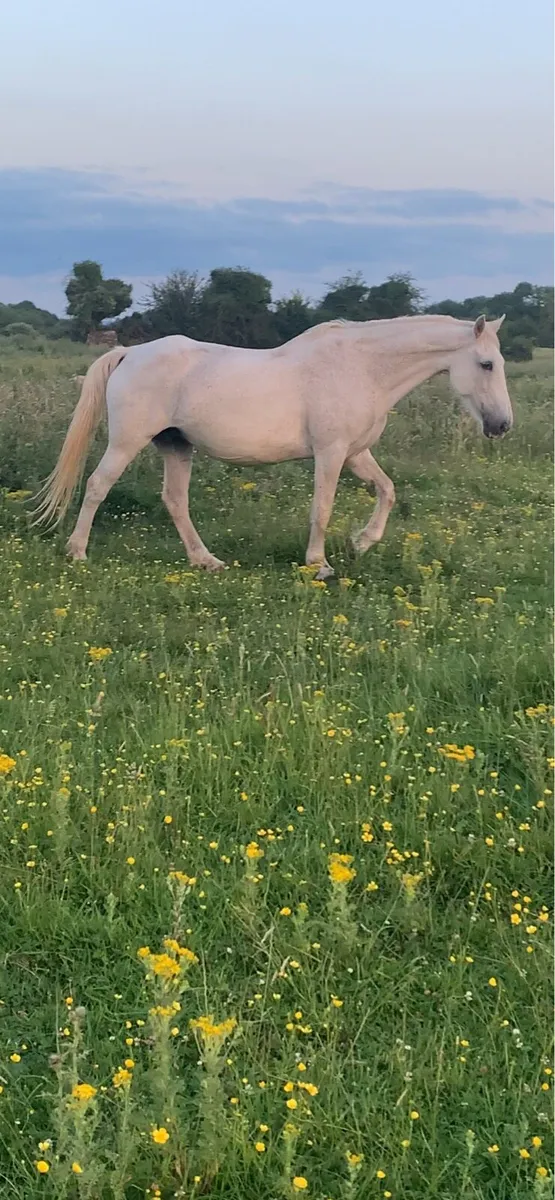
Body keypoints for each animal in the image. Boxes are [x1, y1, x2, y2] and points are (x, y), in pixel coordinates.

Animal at [33, 313, 512, 578]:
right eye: (487, 364)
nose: (502, 425)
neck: (362, 368)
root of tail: (130, 353)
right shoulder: (331, 453)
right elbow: (322, 509)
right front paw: (320, 564)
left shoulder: (355, 453)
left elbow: (387, 490)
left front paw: (362, 542)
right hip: (128, 441)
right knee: (97, 486)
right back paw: (77, 552)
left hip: (176, 447)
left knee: (174, 501)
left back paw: (206, 561)